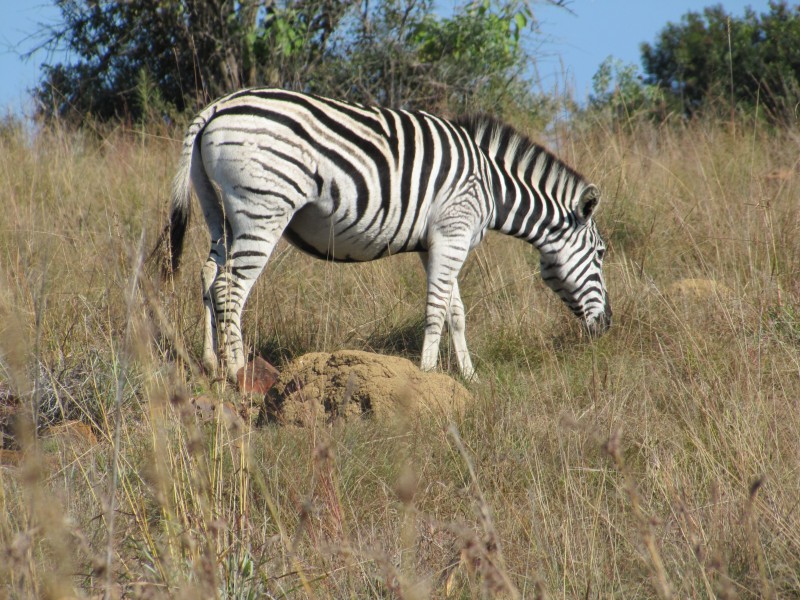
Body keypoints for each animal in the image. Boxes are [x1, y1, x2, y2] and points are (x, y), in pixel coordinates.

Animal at [162, 87, 612, 382]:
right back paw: (237, 371)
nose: (608, 324)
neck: (491, 184)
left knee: (209, 275)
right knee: (231, 289)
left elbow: (456, 312)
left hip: (220, 212)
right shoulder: (453, 231)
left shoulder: (437, 243)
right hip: (263, 211)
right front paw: (428, 374)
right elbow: (436, 310)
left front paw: (469, 377)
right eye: (601, 253)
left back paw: (211, 363)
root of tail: (217, 106)